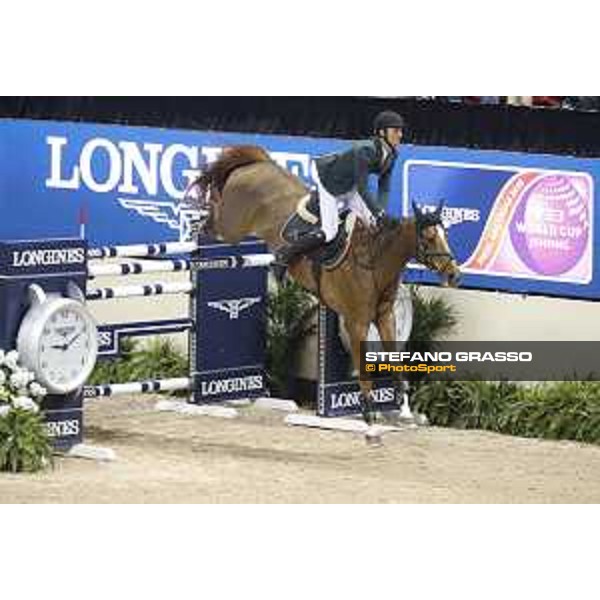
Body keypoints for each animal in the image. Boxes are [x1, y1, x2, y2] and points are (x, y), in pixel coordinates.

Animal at [190, 147, 462, 424]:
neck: (374, 260)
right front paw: (369, 413)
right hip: (230, 229)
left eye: (446, 235)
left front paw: (403, 406)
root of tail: (257, 164)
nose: (454, 275)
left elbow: (394, 358)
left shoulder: (385, 317)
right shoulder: (356, 322)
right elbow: (362, 366)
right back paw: (193, 226)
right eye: (429, 238)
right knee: (210, 224)